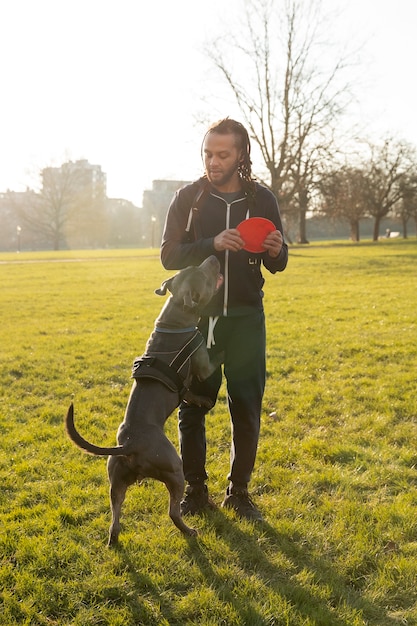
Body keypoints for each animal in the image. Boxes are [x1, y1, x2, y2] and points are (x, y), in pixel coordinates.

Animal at [64, 256, 223, 544]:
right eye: (204, 275)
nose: (214, 257)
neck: (175, 318)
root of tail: (129, 445)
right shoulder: (202, 361)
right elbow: (214, 359)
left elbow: (191, 393)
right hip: (174, 470)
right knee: (173, 512)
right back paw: (190, 531)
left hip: (116, 483)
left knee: (114, 518)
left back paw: (114, 540)